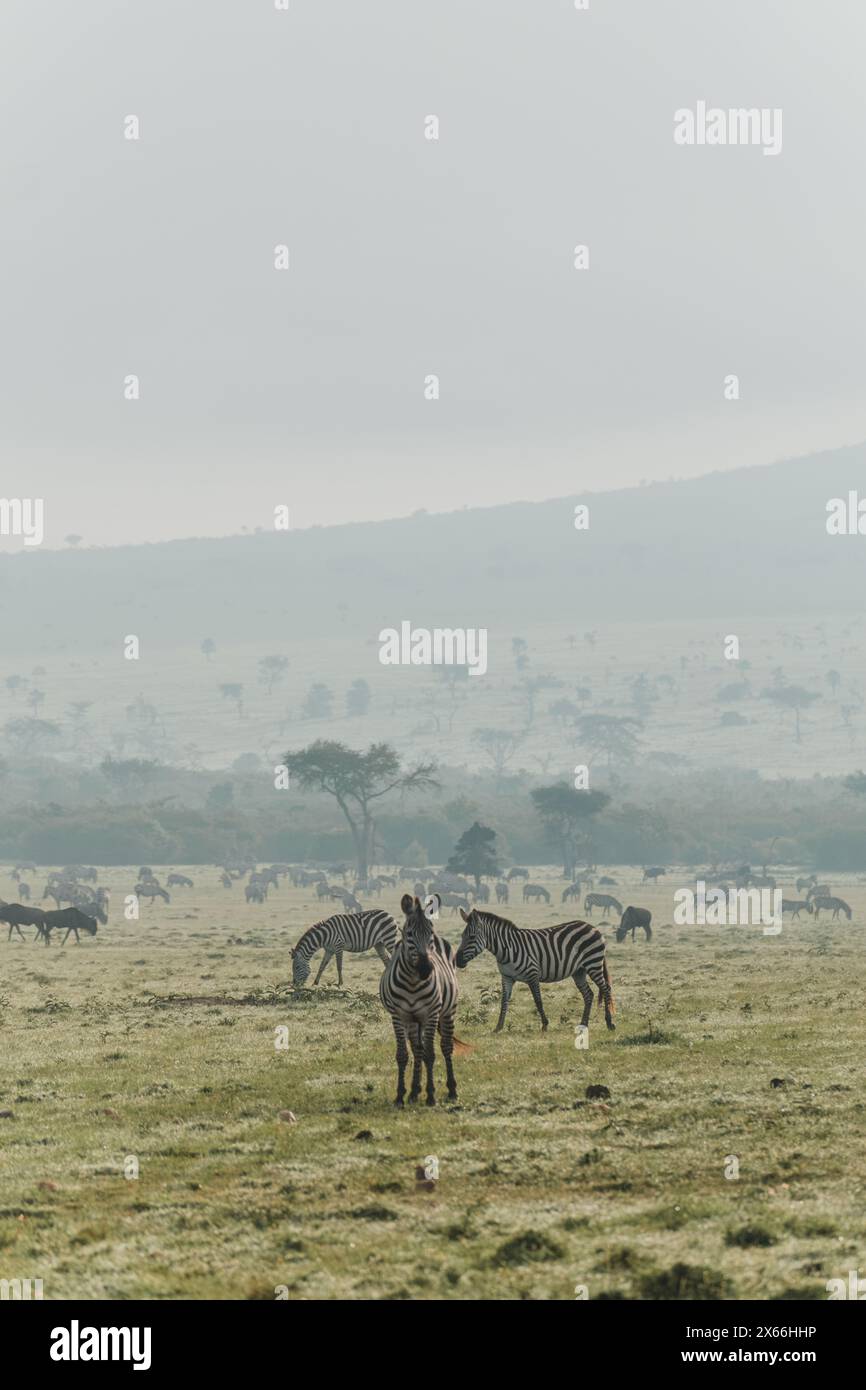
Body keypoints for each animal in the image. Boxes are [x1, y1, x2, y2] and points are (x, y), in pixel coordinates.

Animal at [378, 900, 461, 1106]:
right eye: (409, 934)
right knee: (418, 1050)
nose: (425, 969)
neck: (413, 982)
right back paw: (414, 1092)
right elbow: (403, 1055)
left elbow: (430, 1055)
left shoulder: (431, 1014)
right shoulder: (398, 1016)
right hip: (414, 1021)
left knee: (445, 1047)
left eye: (429, 932)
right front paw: (400, 1095)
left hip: (447, 1012)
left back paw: (452, 1090)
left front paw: (431, 1095)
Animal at [453, 911, 617, 1034]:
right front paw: (498, 1027)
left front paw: (544, 1024)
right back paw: (583, 1024)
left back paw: (609, 1023)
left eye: (472, 937)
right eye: (461, 936)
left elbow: (538, 1000)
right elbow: (503, 1001)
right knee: (588, 994)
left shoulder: (533, 975)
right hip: (579, 971)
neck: (506, 949)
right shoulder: (507, 977)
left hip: (593, 964)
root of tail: (592, 926)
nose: (457, 961)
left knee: (606, 989)